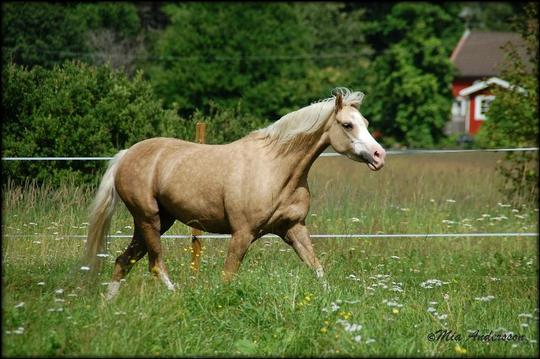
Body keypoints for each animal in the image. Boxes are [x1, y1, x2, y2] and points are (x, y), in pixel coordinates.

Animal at [84, 88, 384, 300]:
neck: (276, 169)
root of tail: (125, 155)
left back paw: (106, 308)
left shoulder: (294, 228)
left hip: (156, 221)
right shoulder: (242, 233)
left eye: (366, 122)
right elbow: (228, 277)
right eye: (347, 125)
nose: (379, 156)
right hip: (149, 219)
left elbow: (317, 269)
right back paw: (179, 297)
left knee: (123, 261)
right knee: (155, 264)